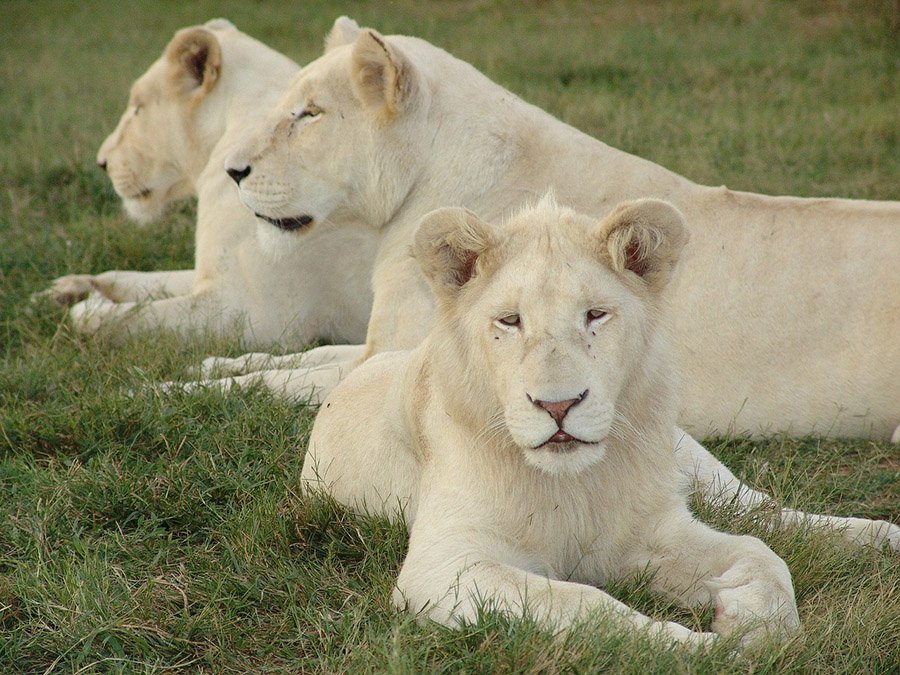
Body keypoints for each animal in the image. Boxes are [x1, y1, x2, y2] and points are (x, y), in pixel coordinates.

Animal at [38, 21, 374, 348]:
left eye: (138, 108)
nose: (102, 161)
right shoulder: (211, 275)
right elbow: (139, 279)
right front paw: (66, 289)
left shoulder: (256, 316)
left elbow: (134, 317)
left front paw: (86, 307)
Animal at [179, 19, 896, 548]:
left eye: (309, 115)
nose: (234, 172)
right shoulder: (380, 347)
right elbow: (300, 357)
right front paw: (208, 365)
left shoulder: (404, 355)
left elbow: (289, 377)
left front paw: (177, 385)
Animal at [304, 198, 800, 648]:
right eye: (510, 321)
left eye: (595, 314)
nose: (558, 406)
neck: (571, 486)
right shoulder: (444, 563)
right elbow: (584, 603)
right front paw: (702, 647)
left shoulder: (653, 528)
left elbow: (761, 553)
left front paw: (756, 622)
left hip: (687, 455)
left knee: (760, 509)